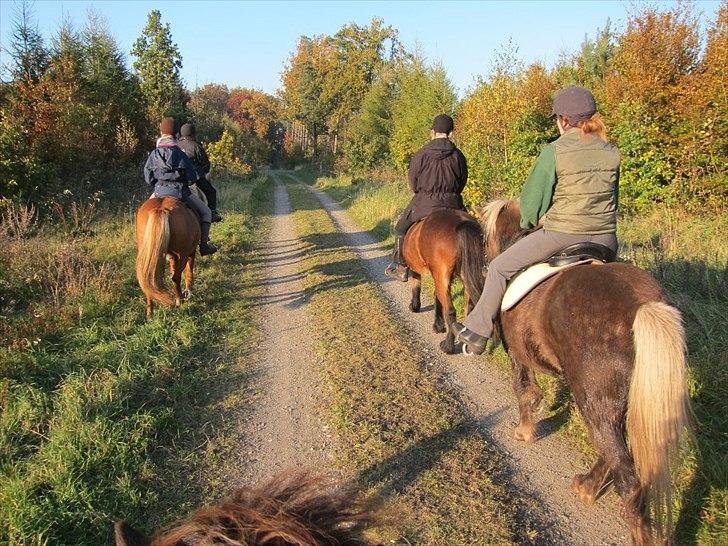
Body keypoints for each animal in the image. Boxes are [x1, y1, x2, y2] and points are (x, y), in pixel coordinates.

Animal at [404, 208, 484, 352]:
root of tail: (462, 222)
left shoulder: (417, 269)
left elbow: (416, 286)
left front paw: (414, 306)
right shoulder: (440, 277)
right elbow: (437, 296)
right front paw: (438, 325)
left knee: (451, 311)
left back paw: (448, 346)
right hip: (464, 277)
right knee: (468, 308)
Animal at [480, 200, 692, 544]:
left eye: (485, 241)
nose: (486, 264)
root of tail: (644, 306)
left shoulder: (518, 356)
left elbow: (526, 392)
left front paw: (524, 431)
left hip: (594, 399)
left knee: (627, 477)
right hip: (616, 402)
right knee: (612, 451)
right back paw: (588, 487)